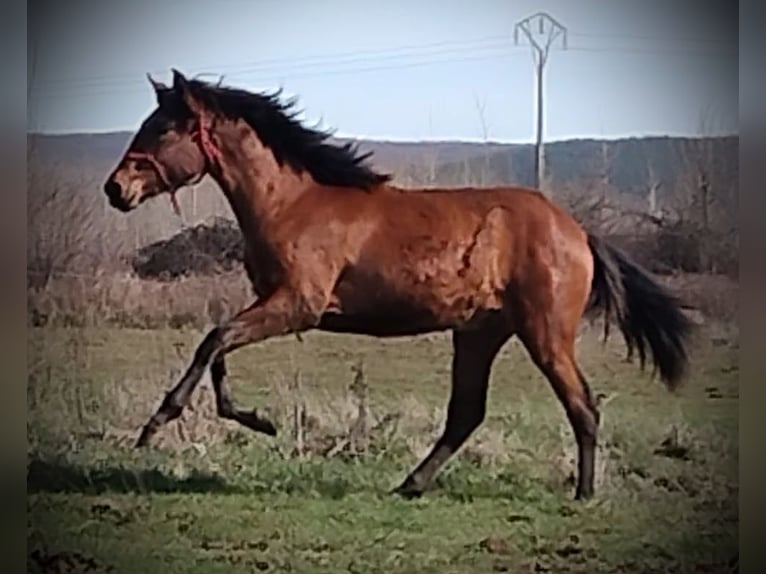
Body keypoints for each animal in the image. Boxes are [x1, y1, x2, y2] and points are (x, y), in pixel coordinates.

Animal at [103, 69, 692, 500]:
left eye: (163, 128)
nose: (115, 189)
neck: (293, 203)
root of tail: (578, 231)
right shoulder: (272, 302)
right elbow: (219, 346)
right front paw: (258, 420)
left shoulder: (298, 305)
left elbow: (214, 339)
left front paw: (159, 425)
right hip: (478, 334)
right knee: (466, 414)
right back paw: (409, 485)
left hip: (545, 333)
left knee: (581, 405)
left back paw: (583, 494)